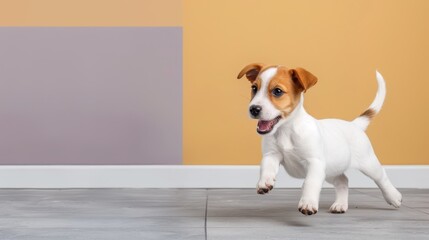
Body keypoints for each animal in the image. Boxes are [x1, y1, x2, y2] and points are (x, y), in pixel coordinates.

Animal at [237, 63, 402, 216]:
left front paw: (308, 203)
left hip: (367, 163)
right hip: (331, 170)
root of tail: (354, 124)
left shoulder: (315, 163)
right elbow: (267, 168)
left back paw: (394, 197)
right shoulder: (271, 155)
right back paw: (340, 205)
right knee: (343, 181)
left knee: (381, 177)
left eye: (277, 91)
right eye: (254, 88)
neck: (286, 130)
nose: (254, 109)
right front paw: (264, 182)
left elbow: (311, 182)